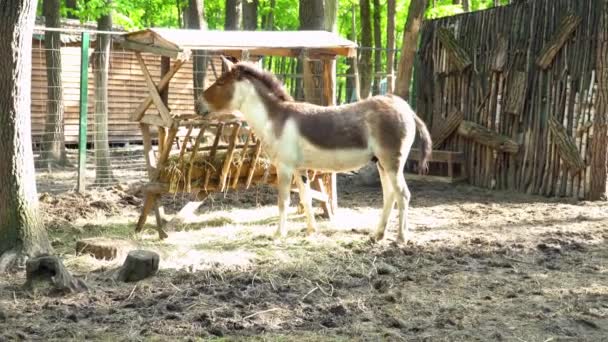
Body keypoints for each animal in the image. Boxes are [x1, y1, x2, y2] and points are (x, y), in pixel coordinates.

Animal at [200, 57, 432, 242]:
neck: (276, 119)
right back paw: (378, 235)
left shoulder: (284, 167)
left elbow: (283, 201)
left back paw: (401, 238)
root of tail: (406, 107)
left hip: (392, 163)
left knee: (403, 195)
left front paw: (278, 234)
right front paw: (312, 230)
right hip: (382, 164)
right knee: (390, 196)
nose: (199, 103)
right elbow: (306, 198)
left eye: (220, 82)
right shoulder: (299, 169)